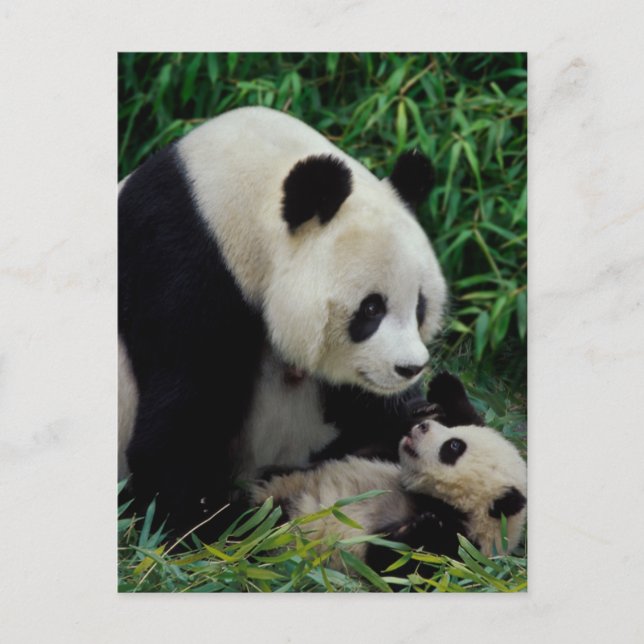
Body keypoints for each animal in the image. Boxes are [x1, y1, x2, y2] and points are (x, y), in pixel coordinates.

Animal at [118, 106, 447, 540]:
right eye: (371, 309)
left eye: (420, 306)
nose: (410, 368)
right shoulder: (181, 270)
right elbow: (179, 421)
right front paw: (215, 524)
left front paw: (423, 415)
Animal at [250, 375, 527, 575]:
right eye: (456, 433)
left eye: (454, 446)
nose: (422, 427)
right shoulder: (384, 454)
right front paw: (437, 396)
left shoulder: (459, 548)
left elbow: (393, 561)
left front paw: (426, 525)